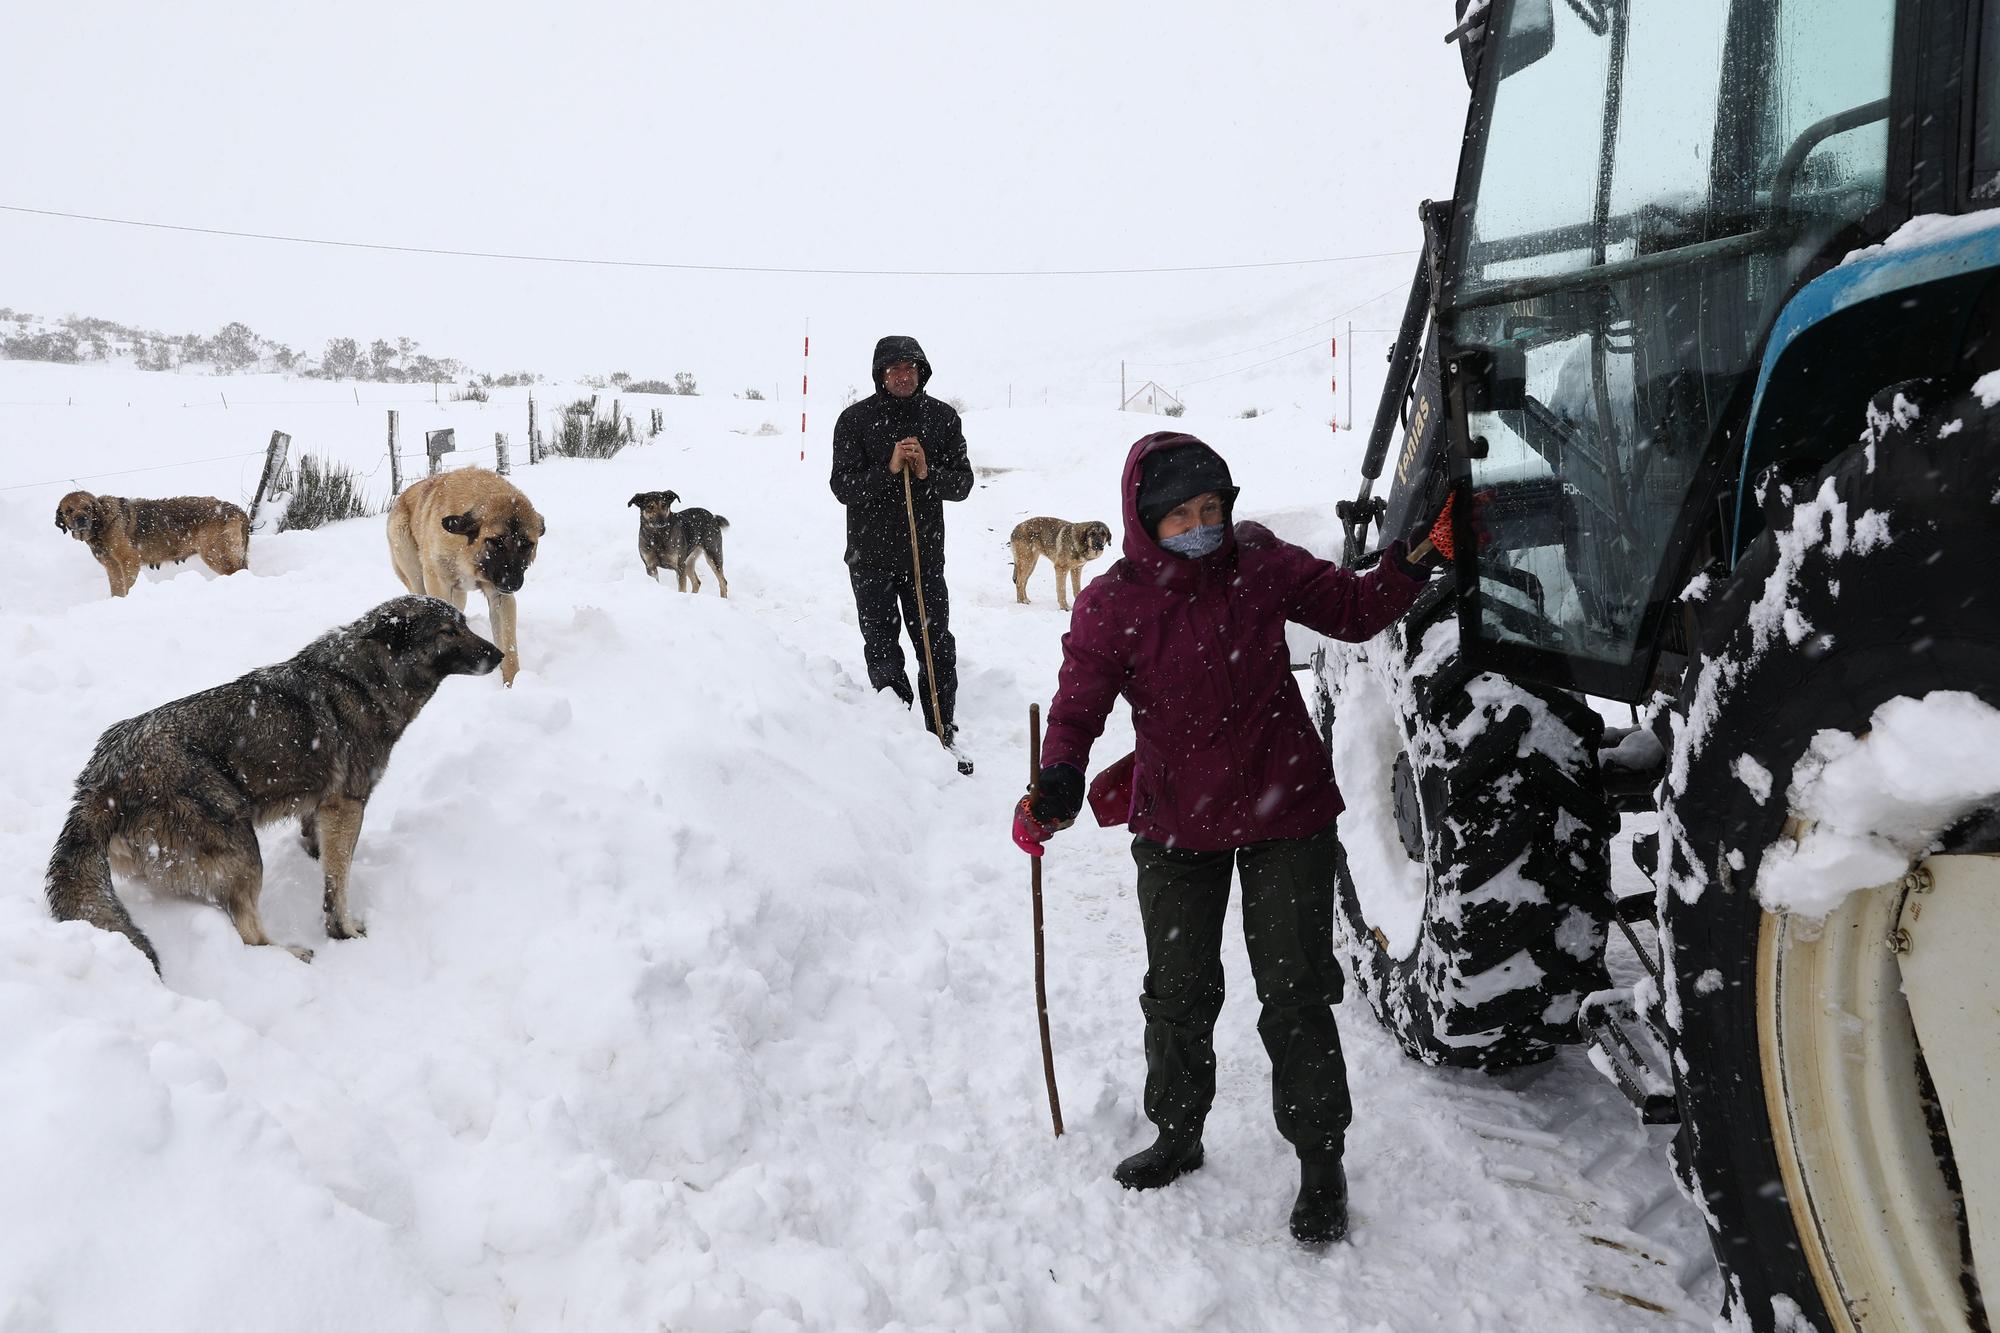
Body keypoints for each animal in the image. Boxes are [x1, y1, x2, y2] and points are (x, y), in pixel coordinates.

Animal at [47, 596, 504, 972]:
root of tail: (100, 779)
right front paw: (344, 932)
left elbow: (324, 854)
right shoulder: (347, 804)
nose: (500, 654)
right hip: (244, 848)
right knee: (250, 935)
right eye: (448, 631)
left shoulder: (320, 808)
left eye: (465, 624)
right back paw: (292, 955)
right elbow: (338, 884)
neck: (365, 681)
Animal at [56, 486, 252, 592]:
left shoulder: (129, 561)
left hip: (216, 554)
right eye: (69, 510)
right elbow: (117, 590)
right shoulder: (112, 567)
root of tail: (237, 510)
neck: (103, 524)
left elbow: (128, 586)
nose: (81, 519)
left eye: (87, 508)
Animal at [386, 466, 544, 684]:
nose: (511, 583)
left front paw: (512, 684)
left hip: (460, 595)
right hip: (415, 575)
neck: (469, 555)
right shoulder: (438, 583)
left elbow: (509, 647)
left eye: (527, 544)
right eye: (495, 542)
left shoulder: (500, 598)